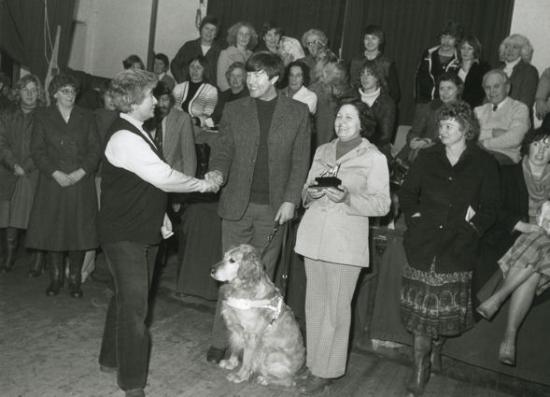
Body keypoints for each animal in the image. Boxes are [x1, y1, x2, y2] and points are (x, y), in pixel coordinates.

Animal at [211, 243, 306, 386]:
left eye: (232, 260)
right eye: (224, 256)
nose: (211, 270)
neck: (244, 286)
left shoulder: (251, 336)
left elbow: (246, 360)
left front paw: (240, 376)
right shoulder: (236, 329)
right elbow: (235, 348)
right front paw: (231, 363)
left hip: (269, 353)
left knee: (289, 381)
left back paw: (265, 379)